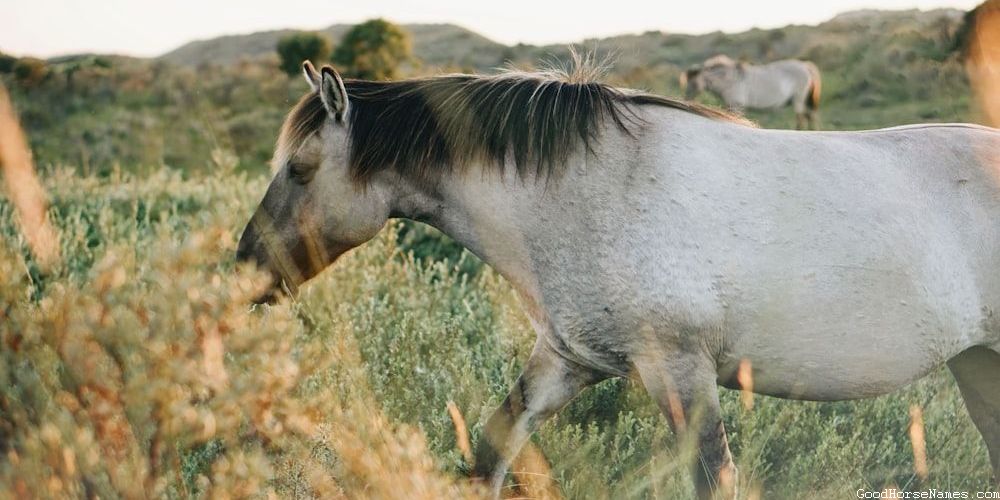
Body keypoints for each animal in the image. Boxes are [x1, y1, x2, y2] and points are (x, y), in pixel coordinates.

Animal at [683, 55, 822, 130]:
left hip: (799, 99)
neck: (731, 79)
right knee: (810, 116)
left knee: (801, 118)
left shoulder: (736, 105)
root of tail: (805, 66)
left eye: (694, 83)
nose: (687, 100)